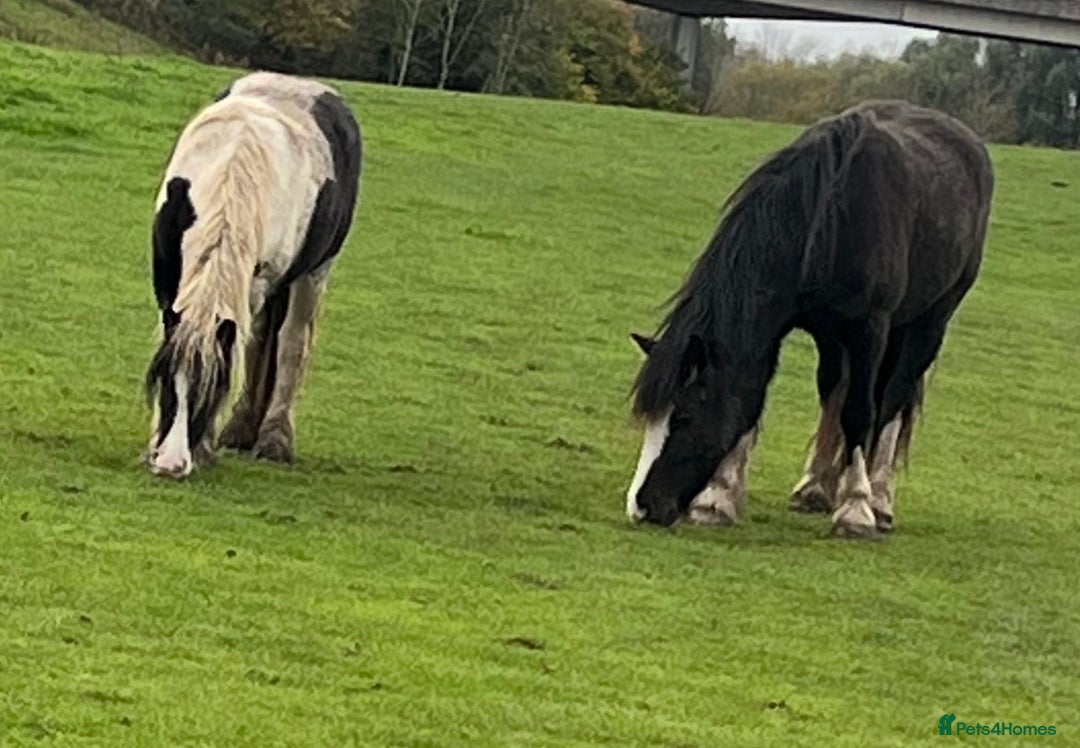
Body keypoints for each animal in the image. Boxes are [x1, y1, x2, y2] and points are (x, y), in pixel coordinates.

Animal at [143, 71, 362, 478]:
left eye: (211, 389)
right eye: (165, 382)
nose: (171, 465)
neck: (230, 169)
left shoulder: (255, 283)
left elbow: (241, 350)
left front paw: (204, 445)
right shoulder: (166, 276)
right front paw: (155, 443)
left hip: (313, 273)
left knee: (290, 344)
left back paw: (272, 439)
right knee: (261, 341)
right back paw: (243, 430)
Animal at [625, 100, 994, 538]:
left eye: (684, 417)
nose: (642, 506)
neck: (830, 218)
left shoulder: (870, 329)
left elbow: (861, 412)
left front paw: (855, 508)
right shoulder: (779, 329)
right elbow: (755, 399)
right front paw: (718, 499)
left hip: (927, 324)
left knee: (892, 398)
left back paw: (878, 498)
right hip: (835, 339)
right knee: (835, 390)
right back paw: (817, 486)